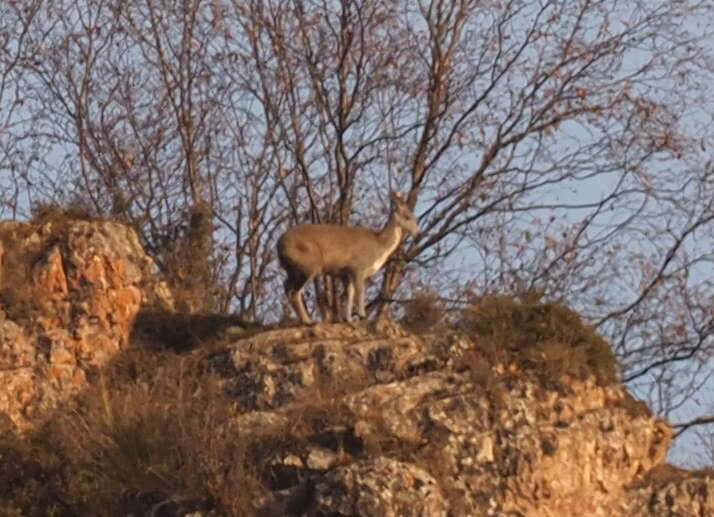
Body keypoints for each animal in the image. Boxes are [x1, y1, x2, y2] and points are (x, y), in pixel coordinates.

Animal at [274, 191, 418, 324]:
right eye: (407, 217)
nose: (418, 232)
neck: (379, 245)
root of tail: (279, 244)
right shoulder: (357, 267)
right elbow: (359, 292)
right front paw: (362, 316)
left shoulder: (346, 274)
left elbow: (349, 295)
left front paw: (348, 319)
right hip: (307, 264)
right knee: (294, 292)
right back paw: (308, 321)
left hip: (293, 268)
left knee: (287, 286)